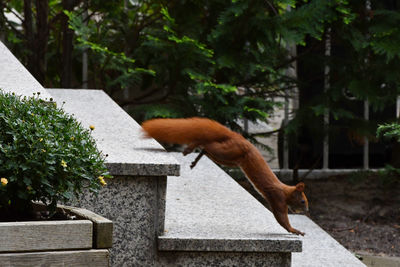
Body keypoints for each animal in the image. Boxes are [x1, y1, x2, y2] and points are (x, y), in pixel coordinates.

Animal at [142, 118, 308, 237]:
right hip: (229, 152)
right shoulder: (277, 198)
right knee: (207, 144)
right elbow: (281, 218)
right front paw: (295, 230)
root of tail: (239, 137)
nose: (306, 210)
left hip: (227, 158)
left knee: (207, 148)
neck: (285, 191)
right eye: (302, 201)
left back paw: (195, 159)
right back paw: (191, 149)